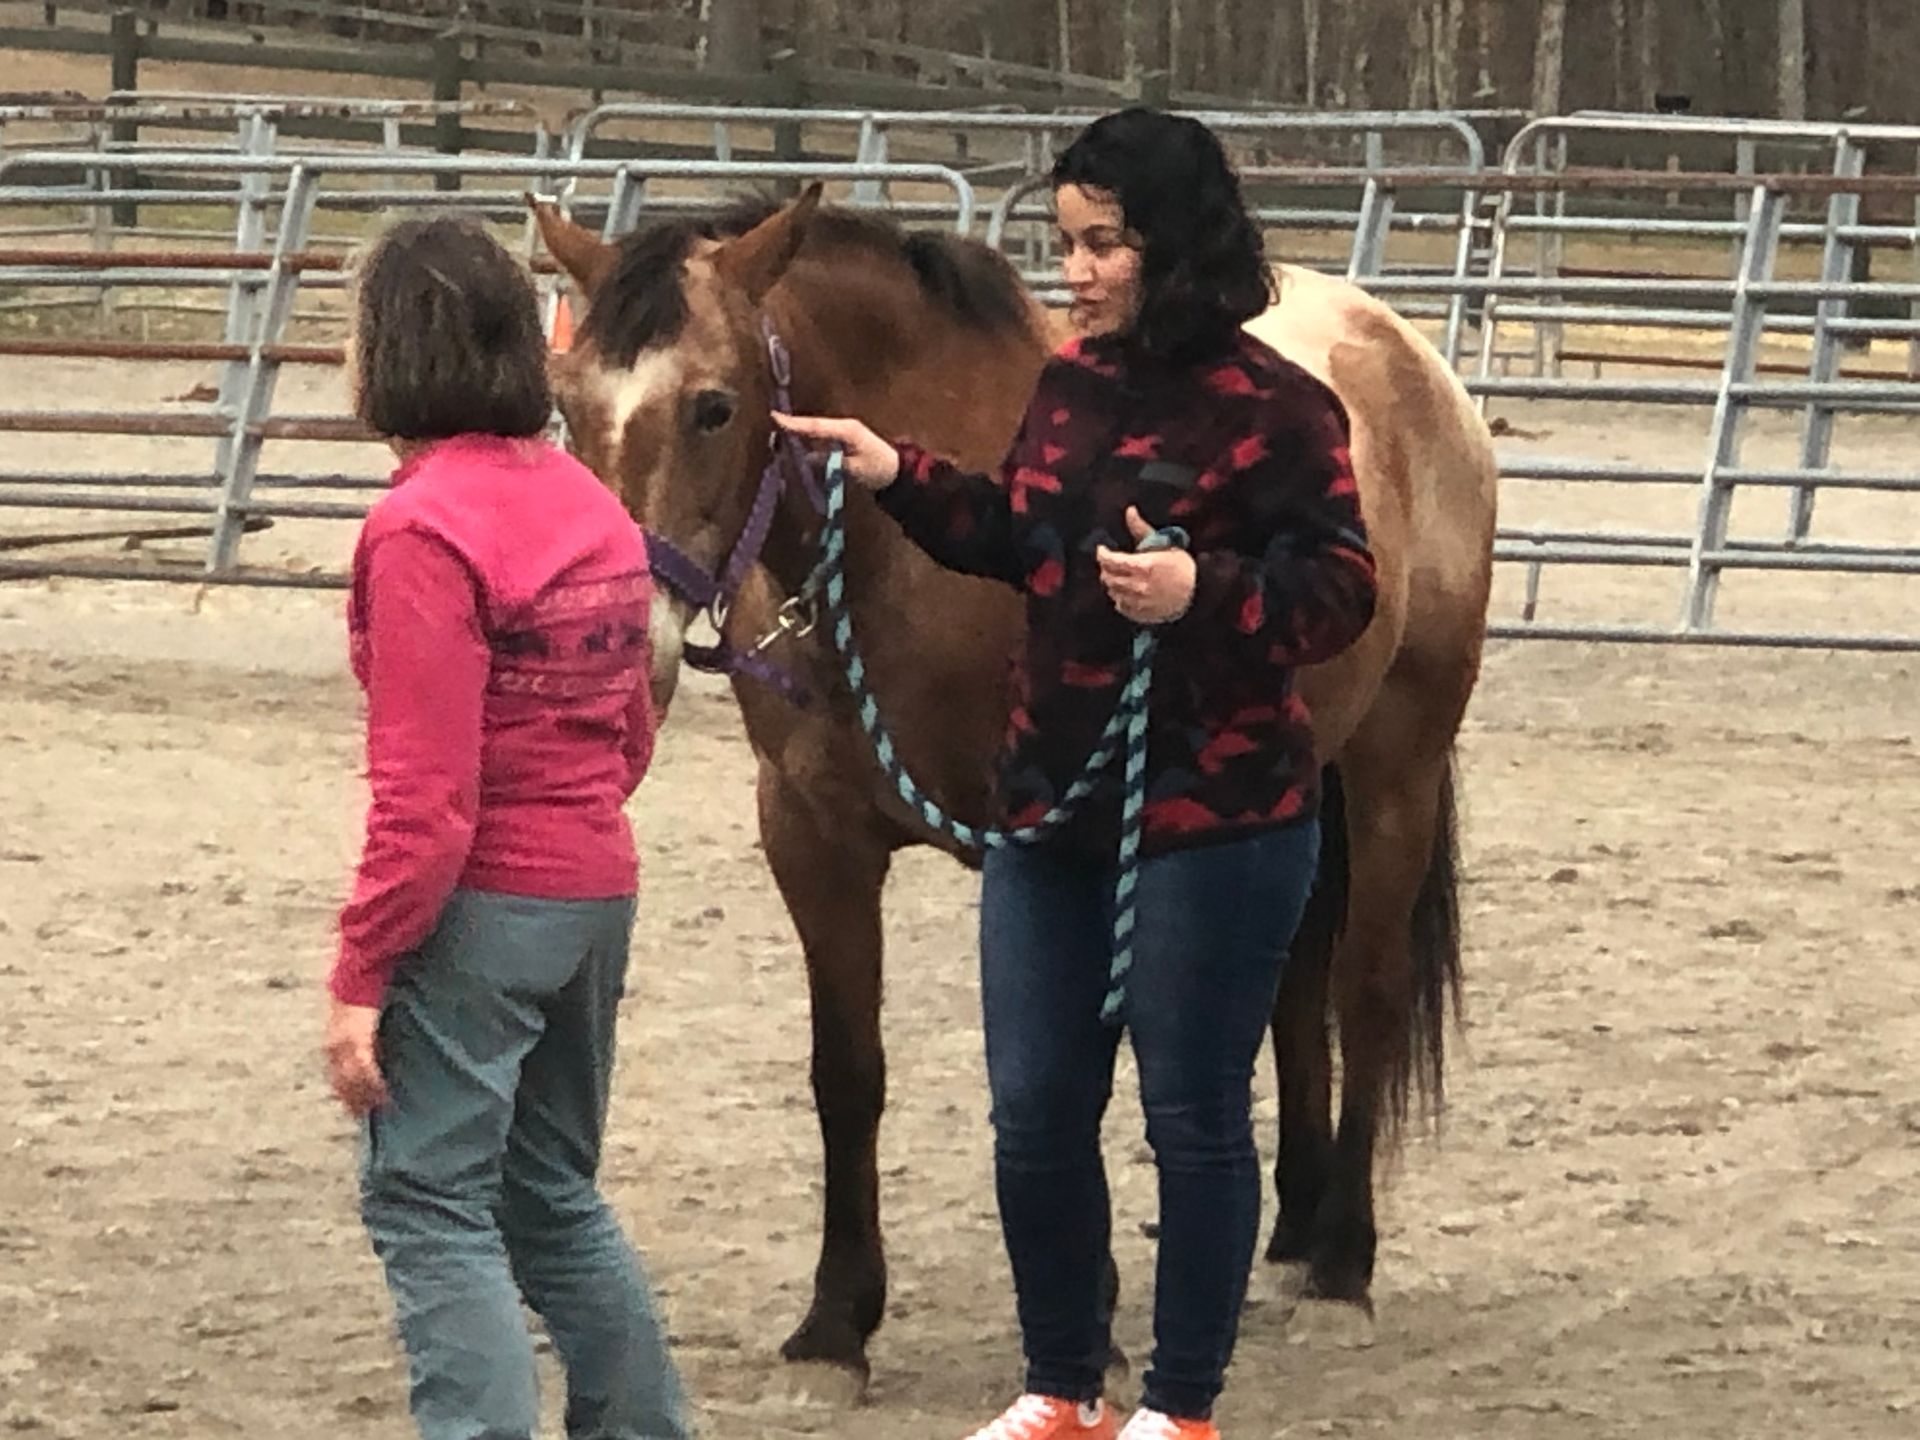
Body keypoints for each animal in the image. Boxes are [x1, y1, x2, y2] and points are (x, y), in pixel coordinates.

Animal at [537, 186, 1497, 1390]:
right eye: (565, 401)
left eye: (714, 407)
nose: (617, 640)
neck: (891, 567)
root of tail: (1412, 364)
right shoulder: (810, 838)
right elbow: (846, 1073)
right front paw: (835, 1327)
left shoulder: (1055, 835)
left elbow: (1071, 1069)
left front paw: (1095, 1316)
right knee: (1290, 991)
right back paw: (1288, 1238)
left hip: (1392, 769)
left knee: (1364, 993)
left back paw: (1340, 1268)